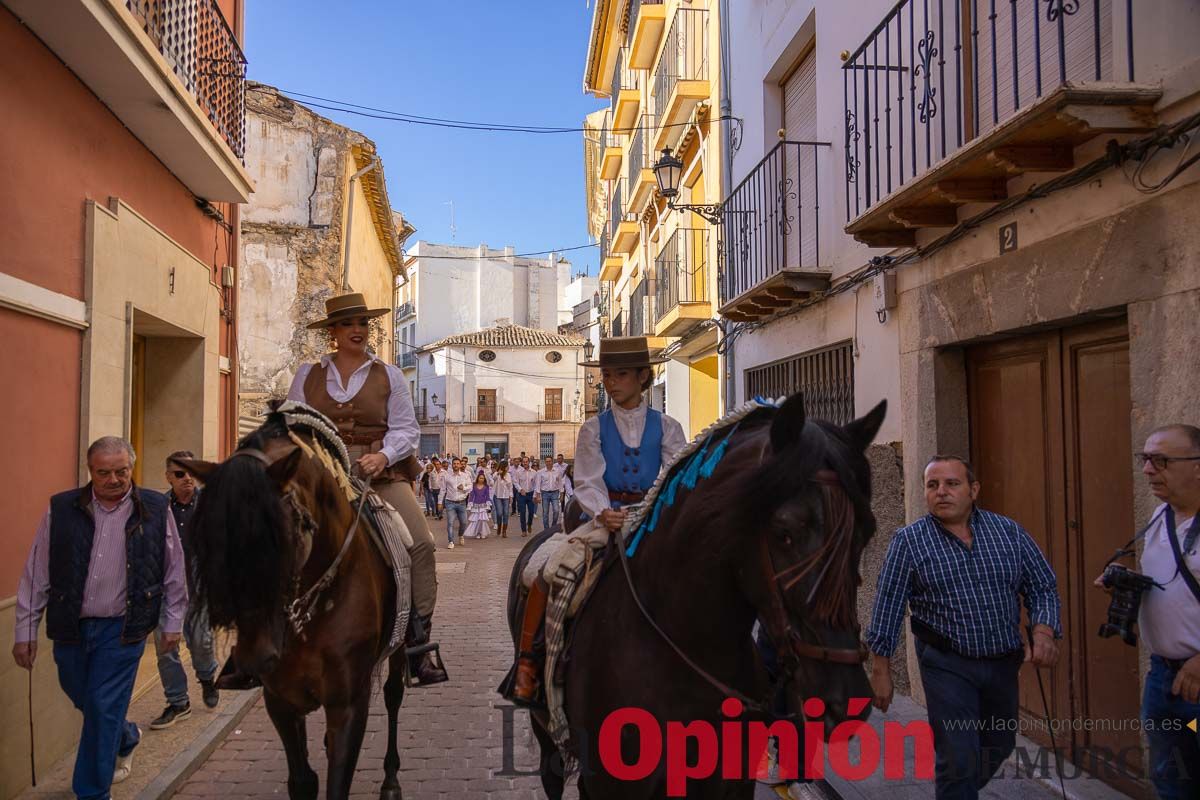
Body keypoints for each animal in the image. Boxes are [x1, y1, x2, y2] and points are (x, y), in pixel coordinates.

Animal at [184, 412, 410, 800]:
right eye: (212, 538)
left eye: (285, 532)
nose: (255, 658)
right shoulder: (280, 699)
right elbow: (303, 781)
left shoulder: (348, 703)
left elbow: (337, 783)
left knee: (394, 696)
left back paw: (391, 781)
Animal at [501, 395, 888, 800]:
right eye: (784, 531)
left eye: (866, 530)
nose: (847, 698)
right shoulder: (617, 784)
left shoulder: (730, 783)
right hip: (546, 731)